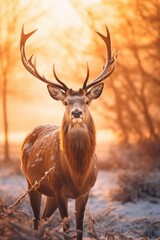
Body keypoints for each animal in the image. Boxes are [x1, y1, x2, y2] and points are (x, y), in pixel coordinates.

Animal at [20, 24, 117, 240]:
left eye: (87, 101)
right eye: (65, 102)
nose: (76, 112)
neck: (77, 174)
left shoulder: (85, 192)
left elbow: (79, 228)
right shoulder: (59, 189)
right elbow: (66, 228)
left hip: (48, 193)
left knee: (44, 220)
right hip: (32, 182)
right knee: (37, 221)